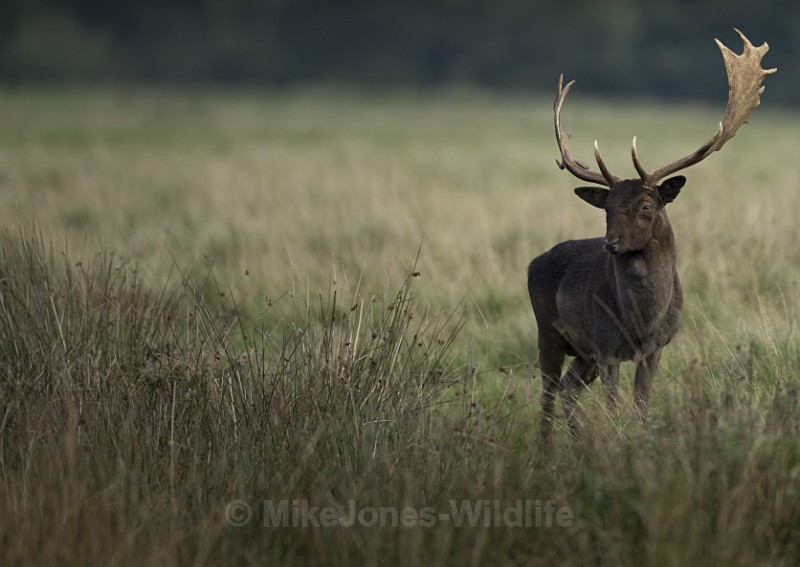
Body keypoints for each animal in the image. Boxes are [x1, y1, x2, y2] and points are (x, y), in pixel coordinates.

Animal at [528, 29, 776, 448]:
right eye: (607, 207)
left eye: (647, 205)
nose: (610, 243)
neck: (642, 321)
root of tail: (533, 262)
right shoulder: (607, 345)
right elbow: (614, 408)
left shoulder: (655, 349)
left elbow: (640, 408)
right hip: (549, 330)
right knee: (547, 394)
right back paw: (546, 450)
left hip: (583, 353)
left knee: (566, 389)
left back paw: (578, 442)